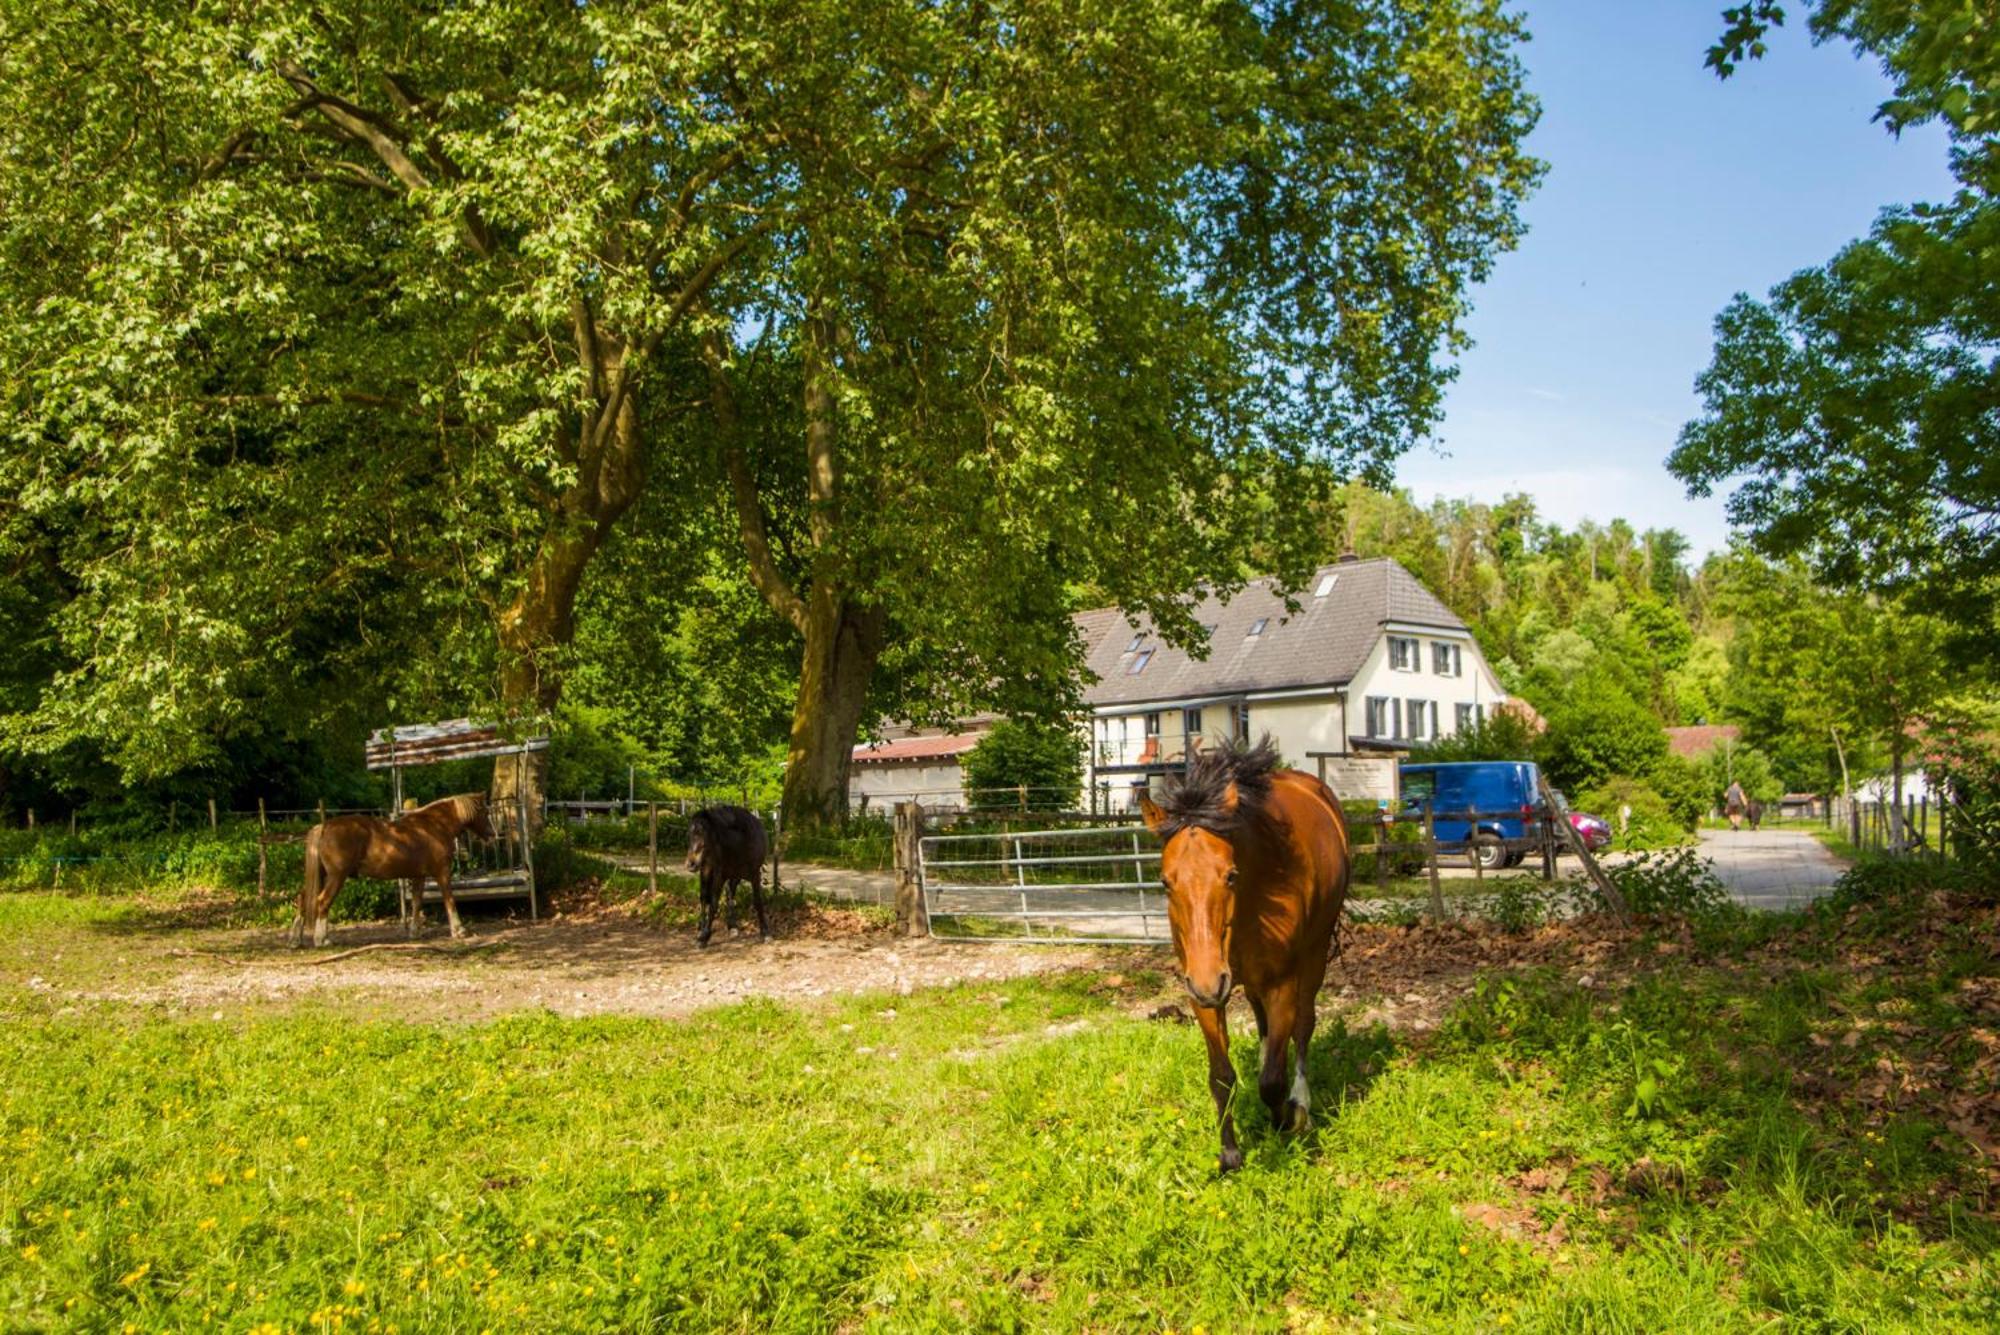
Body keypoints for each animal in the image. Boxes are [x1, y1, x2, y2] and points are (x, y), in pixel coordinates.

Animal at [292, 791, 496, 947]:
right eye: (485, 812)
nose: (492, 835)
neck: (434, 826)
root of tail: (324, 826)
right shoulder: (442, 872)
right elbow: (449, 899)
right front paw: (459, 930)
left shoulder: (419, 876)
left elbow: (416, 902)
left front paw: (414, 932)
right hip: (336, 877)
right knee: (322, 902)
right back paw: (322, 940)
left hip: (323, 876)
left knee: (303, 900)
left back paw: (295, 940)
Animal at [1136, 735, 1352, 1175]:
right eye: (1165, 881)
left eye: (1230, 875)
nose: (1209, 982)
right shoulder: (1201, 994)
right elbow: (1221, 1075)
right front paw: (1230, 1154)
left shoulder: (1281, 984)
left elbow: (1273, 1081)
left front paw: (1287, 1118)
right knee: (1264, 1024)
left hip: (1316, 953)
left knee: (1304, 1026)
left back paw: (1301, 1100)